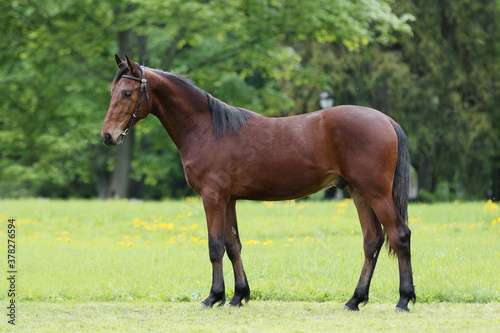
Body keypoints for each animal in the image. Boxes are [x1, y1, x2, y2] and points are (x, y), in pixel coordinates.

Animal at [100, 55, 414, 312]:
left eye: (127, 93)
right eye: (112, 93)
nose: (107, 136)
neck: (207, 129)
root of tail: (387, 120)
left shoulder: (212, 198)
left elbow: (215, 247)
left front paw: (213, 297)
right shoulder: (228, 200)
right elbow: (233, 245)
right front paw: (238, 295)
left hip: (375, 193)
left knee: (400, 235)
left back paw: (403, 299)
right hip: (358, 193)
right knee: (372, 242)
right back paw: (355, 299)